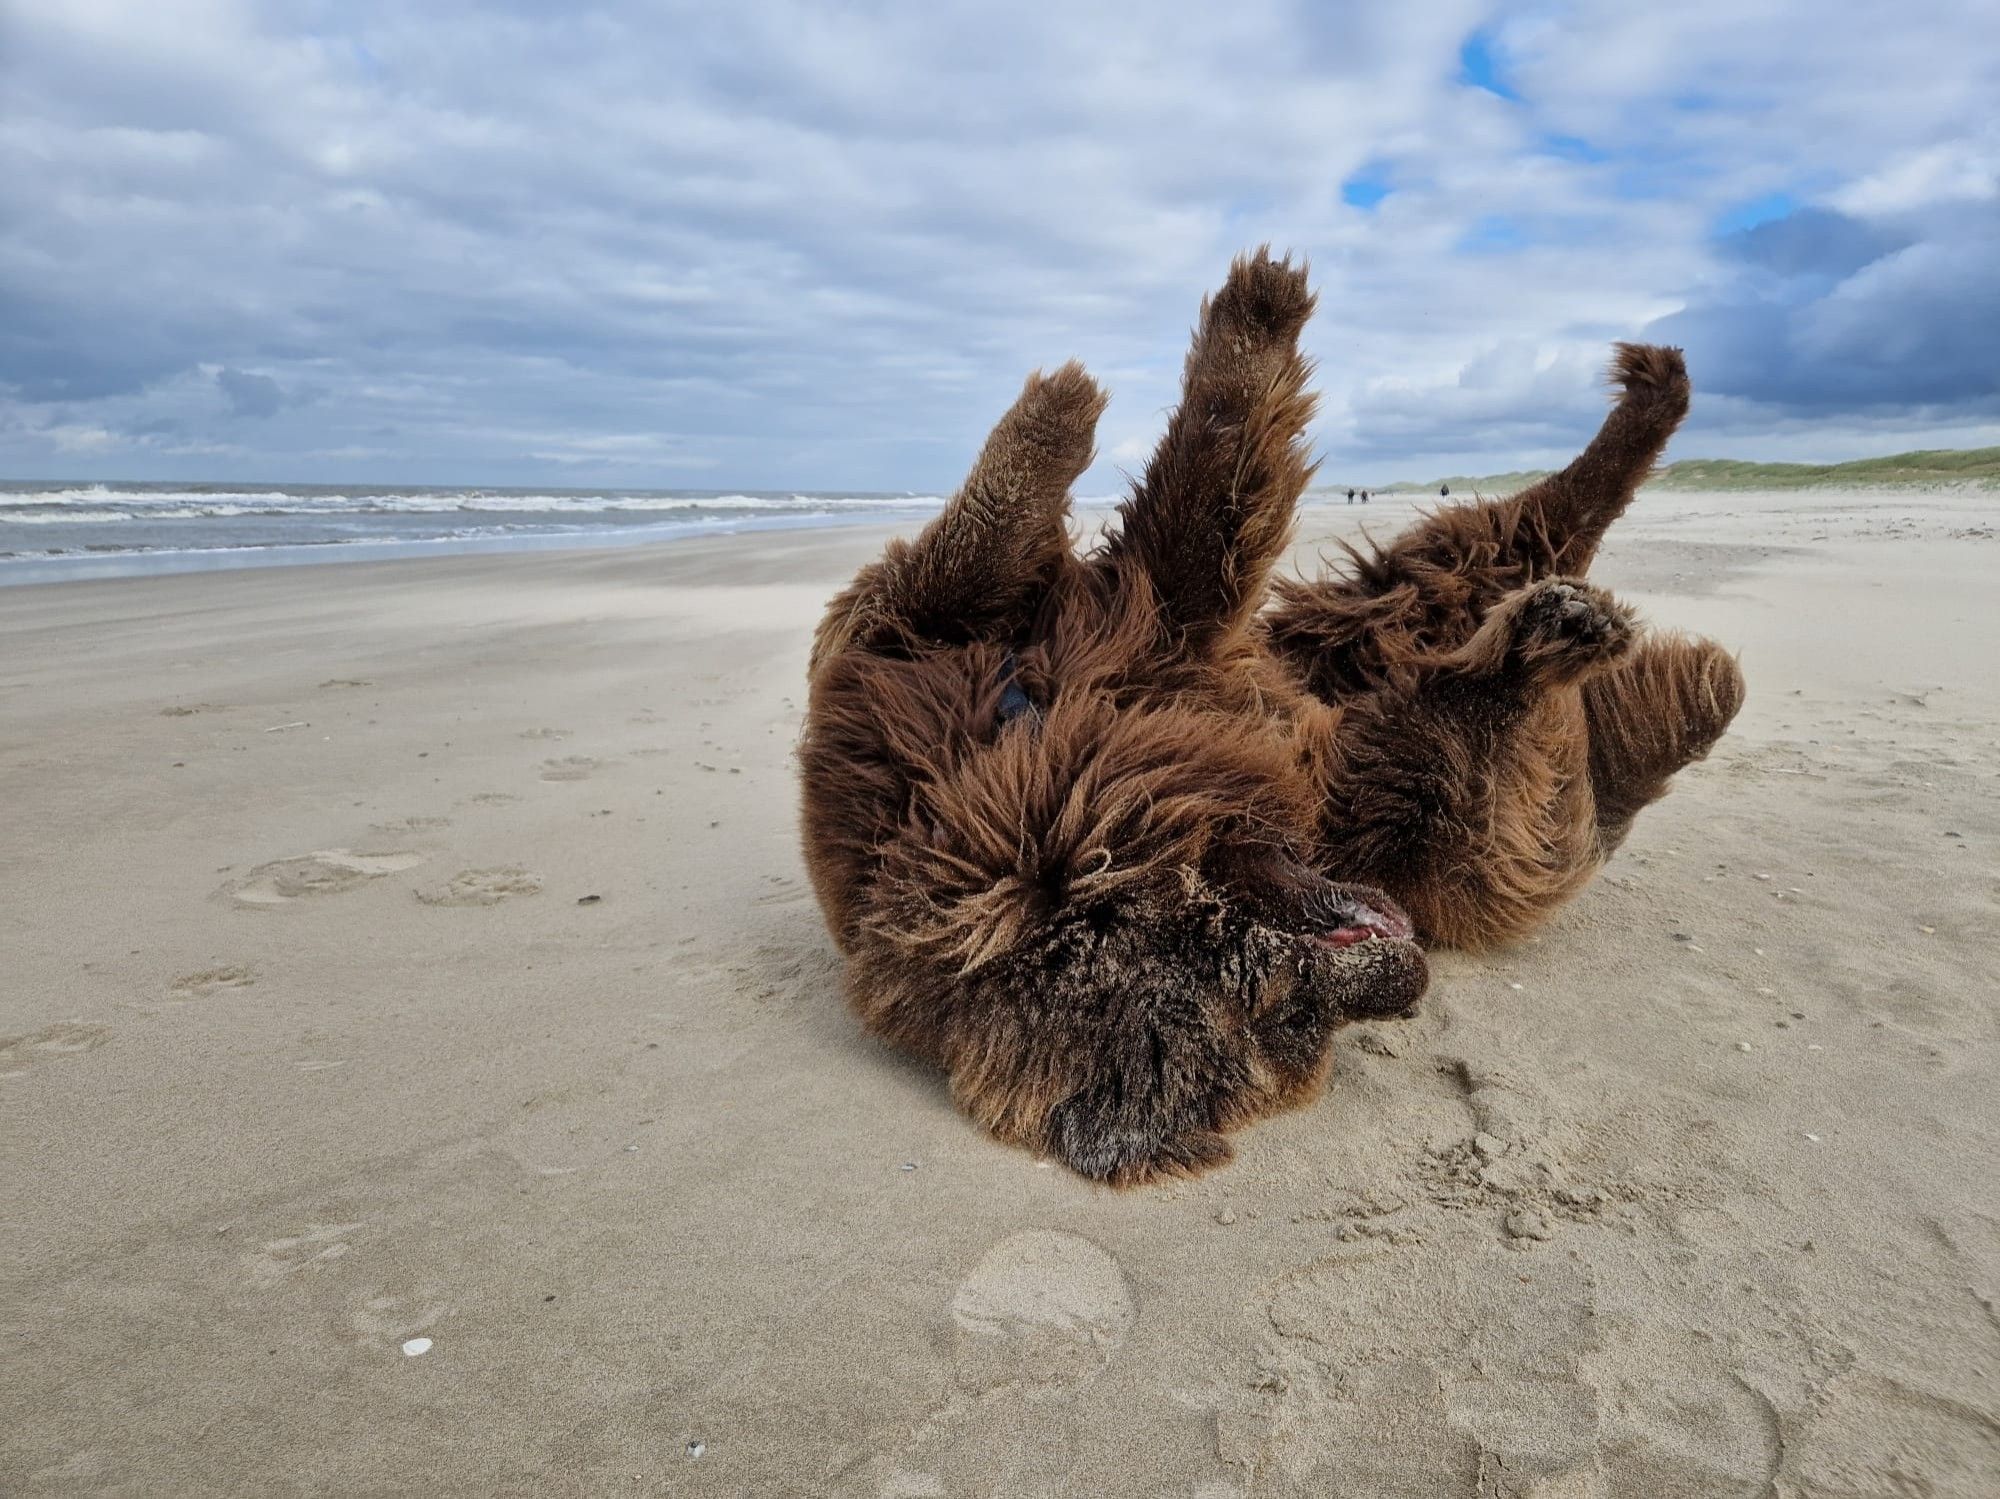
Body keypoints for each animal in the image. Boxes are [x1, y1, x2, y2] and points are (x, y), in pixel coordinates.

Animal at [804, 249, 1744, 1183]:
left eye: (1253, 960)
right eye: (1282, 1014)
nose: (1402, 988)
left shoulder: (1039, 655)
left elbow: (1160, 512)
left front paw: (1192, 344)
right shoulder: (1392, 803)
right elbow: (1461, 740)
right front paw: (1542, 661)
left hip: (1374, 609)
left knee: (1524, 524)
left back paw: (1652, 396)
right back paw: (1675, 671)